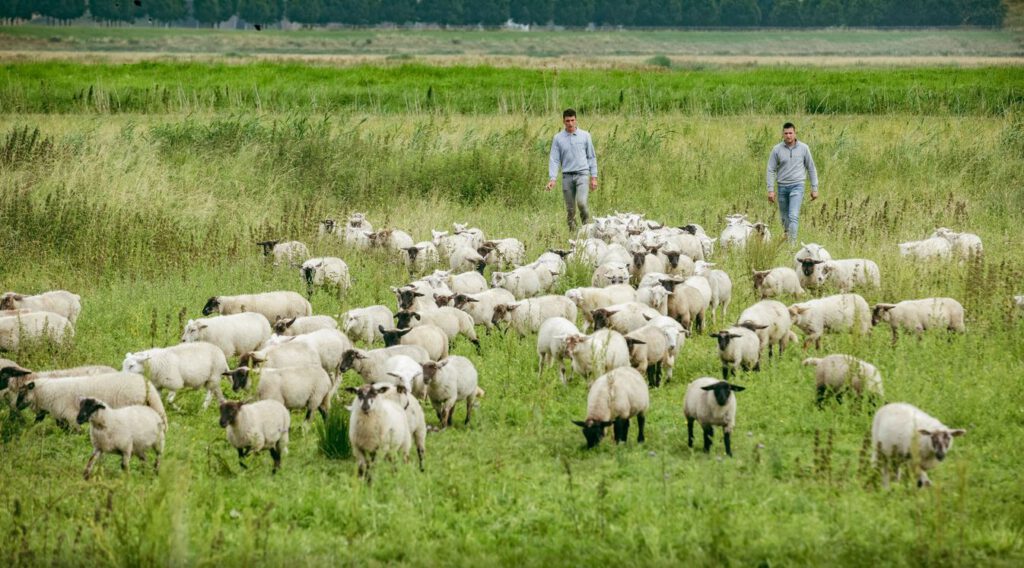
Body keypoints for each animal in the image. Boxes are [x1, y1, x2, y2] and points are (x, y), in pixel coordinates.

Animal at [14, 370, 164, 429]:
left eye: (21, 393)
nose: (16, 406)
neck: (46, 393)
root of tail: (147, 385)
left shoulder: (70, 415)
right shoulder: (60, 416)